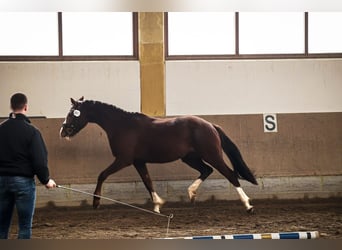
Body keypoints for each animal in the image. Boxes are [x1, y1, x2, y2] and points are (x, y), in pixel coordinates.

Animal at [60, 96, 258, 214]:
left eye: (72, 114)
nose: (63, 131)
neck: (122, 126)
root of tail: (210, 125)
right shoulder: (138, 162)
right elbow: (148, 182)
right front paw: (157, 205)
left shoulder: (123, 160)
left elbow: (102, 175)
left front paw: (96, 201)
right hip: (190, 157)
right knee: (206, 170)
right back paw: (191, 194)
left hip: (212, 155)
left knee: (230, 174)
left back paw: (248, 205)